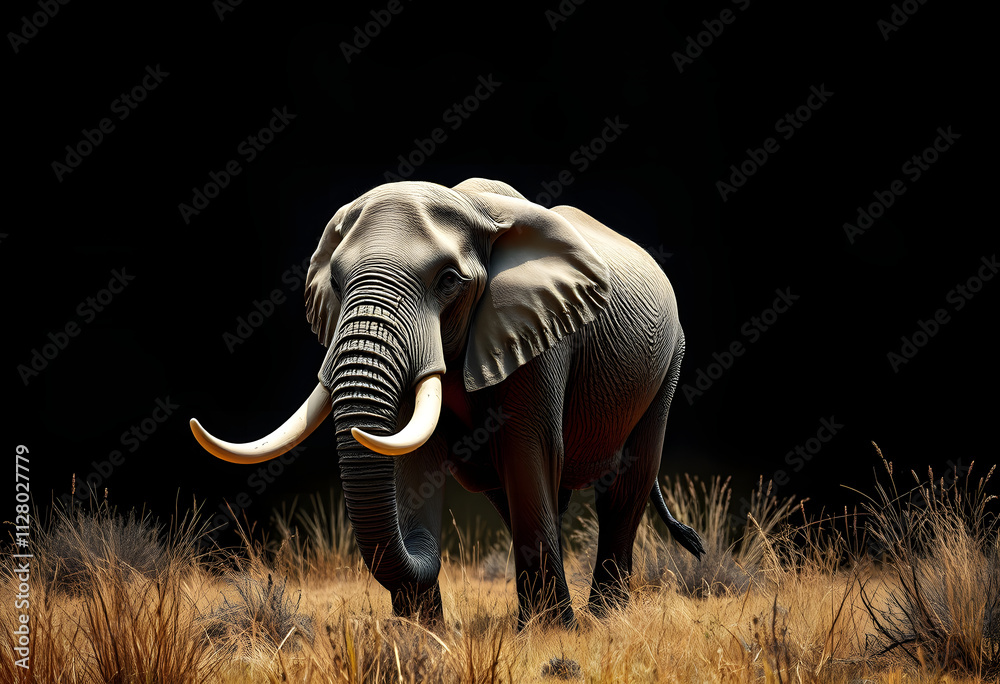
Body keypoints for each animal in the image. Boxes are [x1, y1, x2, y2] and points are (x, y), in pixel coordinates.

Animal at [190, 178, 704, 628]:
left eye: (448, 280)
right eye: (335, 283)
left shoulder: (541, 334)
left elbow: (528, 453)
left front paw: (550, 633)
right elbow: (415, 460)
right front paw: (420, 635)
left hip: (670, 360)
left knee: (623, 487)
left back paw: (604, 618)